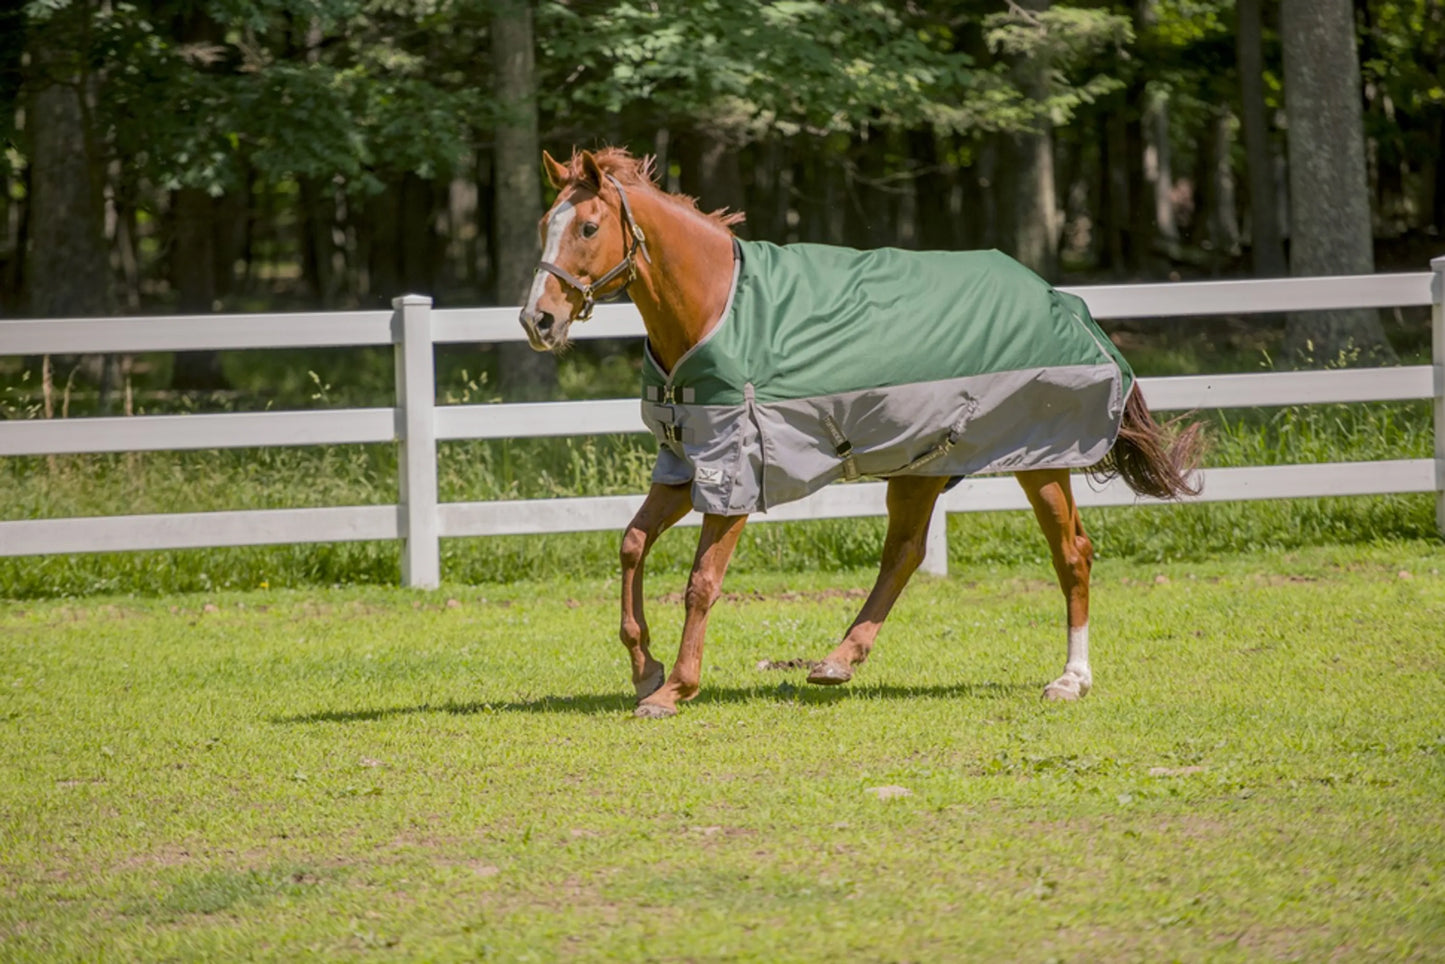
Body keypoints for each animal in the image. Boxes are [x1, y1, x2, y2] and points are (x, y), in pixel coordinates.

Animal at [519, 147, 1201, 720]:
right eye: (544, 224)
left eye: (587, 228)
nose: (537, 320)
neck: (715, 310)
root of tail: (1067, 303)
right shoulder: (685, 465)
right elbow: (632, 544)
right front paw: (645, 668)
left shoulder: (734, 473)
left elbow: (701, 582)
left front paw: (675, 689)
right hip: (923, 465)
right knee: (904, 554)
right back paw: (837, 661)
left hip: (1042, 459)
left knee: (1072, 553)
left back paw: (1070, 679)